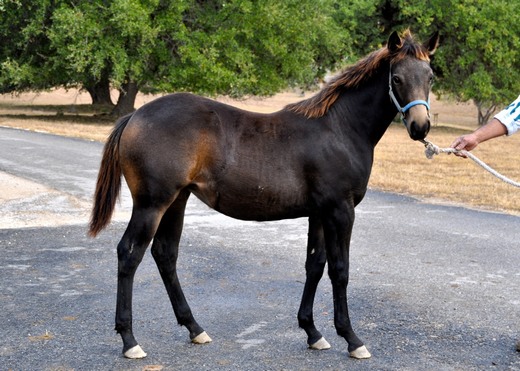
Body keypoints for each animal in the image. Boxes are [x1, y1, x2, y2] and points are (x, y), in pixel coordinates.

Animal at [89, 30, 438, 362]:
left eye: (430, 77)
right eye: (396, 78)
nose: (420, 127)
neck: (339, 129)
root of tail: (134, 117)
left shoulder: (319, 213)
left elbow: (315, 265)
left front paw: (313, 332)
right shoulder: (340, 210)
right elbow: (340, 270)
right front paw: (352, 339)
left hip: (177, 201)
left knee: (165, 254)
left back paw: (194, 328)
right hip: (151, 205)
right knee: (129, 254)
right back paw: (130, 341)